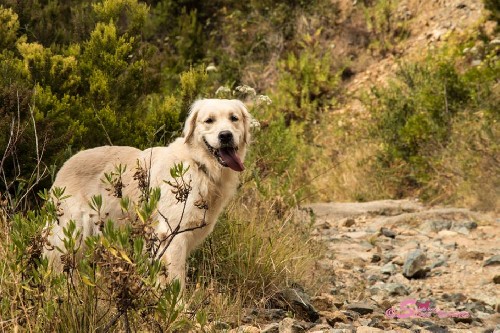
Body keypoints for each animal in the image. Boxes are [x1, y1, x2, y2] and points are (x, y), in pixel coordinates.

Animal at [45, 99, 252, 288]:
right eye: (209, 120)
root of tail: (64, 166)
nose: (225, 135)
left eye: (234, 118)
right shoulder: (172, 236)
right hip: (70, 236)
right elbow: (175, 282)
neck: (198, 165)